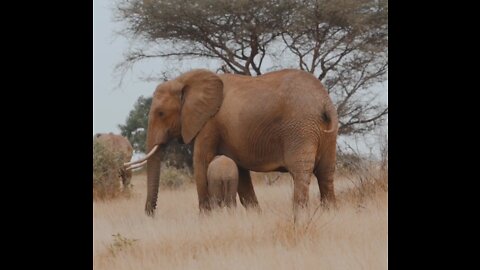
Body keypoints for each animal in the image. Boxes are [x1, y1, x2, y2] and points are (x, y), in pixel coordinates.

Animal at [125, 68, 340, 216]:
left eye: (161, 113)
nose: (150, 215)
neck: (186, 79)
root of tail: (324, 102)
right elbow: (241, 173)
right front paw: (255, 215)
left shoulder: (209, 123)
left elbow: (201, 162)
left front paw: (205, 218)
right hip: (326, 132)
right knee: (326, 174)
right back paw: (330, 213)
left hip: (300, 128)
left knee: (301, 173)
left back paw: (299, 215)